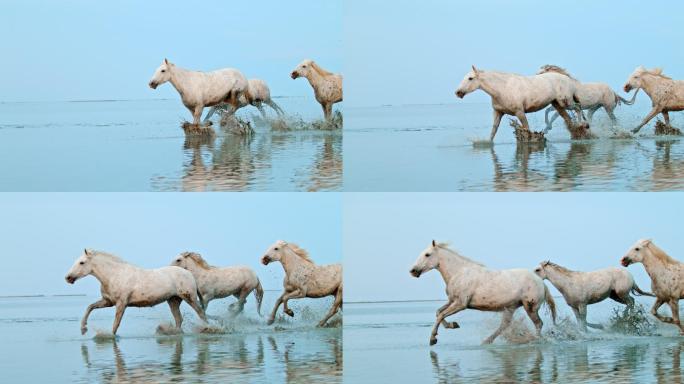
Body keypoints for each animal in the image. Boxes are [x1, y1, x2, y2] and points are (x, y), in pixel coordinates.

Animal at [65, 250, 207, 334]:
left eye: (81, 262)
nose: (68, 277)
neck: (113, 275)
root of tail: (189, 273)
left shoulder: (121, 303)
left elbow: (116, 324)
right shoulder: (108, 302)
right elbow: (90, 307)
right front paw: (83, 328)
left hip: (190, 298)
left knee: (201, 313)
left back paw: (207, 328)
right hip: (173, 300)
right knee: (179, 319)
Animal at [412, 240, 556, 344]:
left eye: (427, 254)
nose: (413, 271)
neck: (459, 273)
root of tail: (541, 282)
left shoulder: (461, 304)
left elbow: (441, 315)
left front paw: (433, 339)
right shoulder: (452, 301)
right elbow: (438, 312)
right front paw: (453, 325)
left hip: (530, 307)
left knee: (538, 323)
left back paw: (535, 340)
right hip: (510, 307)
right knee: (505, 325)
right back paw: (487, 341)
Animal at [454, 65, 584, 141]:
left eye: (470, 78)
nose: (458, 92)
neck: (502, 88)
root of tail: (567, 79)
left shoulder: (520, 112)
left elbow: (527, 129)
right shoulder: (498, 112)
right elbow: (493, 131)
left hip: (565, 103)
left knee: (577, 108)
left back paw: (583, 125)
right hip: (557, 105)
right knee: (568, 119)